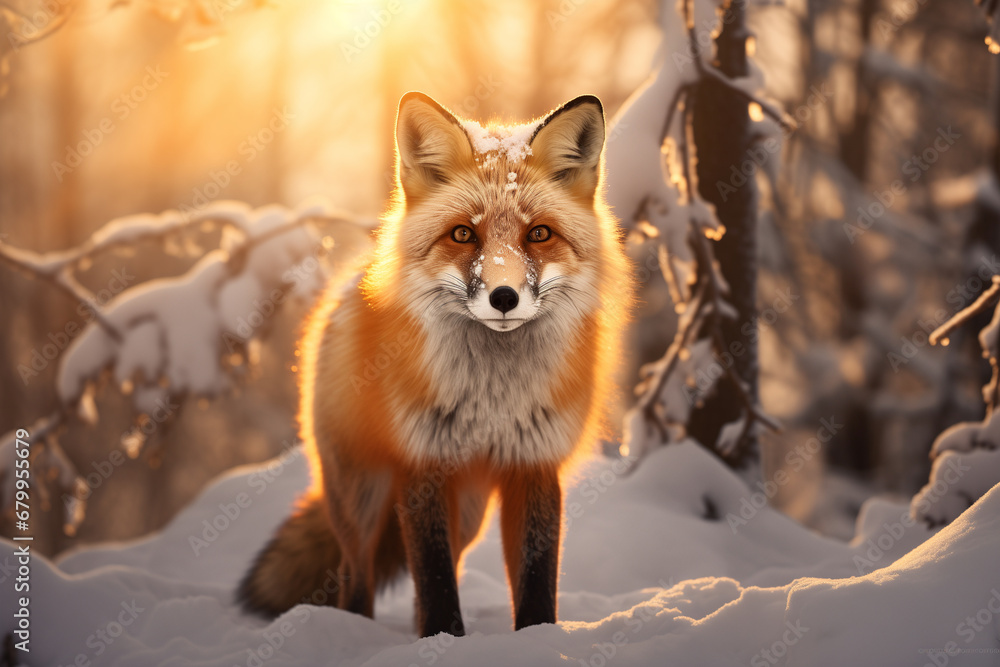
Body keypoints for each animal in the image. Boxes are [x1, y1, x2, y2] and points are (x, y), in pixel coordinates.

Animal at [237, 91, 632, 637]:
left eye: (539, 234)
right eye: (463, 234)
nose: (504, 297)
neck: (493, 400)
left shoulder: (533, 462)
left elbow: (534, 577)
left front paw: (534, 639)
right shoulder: (421, 463)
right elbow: (435, 578)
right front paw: (442, 638)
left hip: (467, 511)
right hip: (362, 495)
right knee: (354, 573)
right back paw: (350, 631)